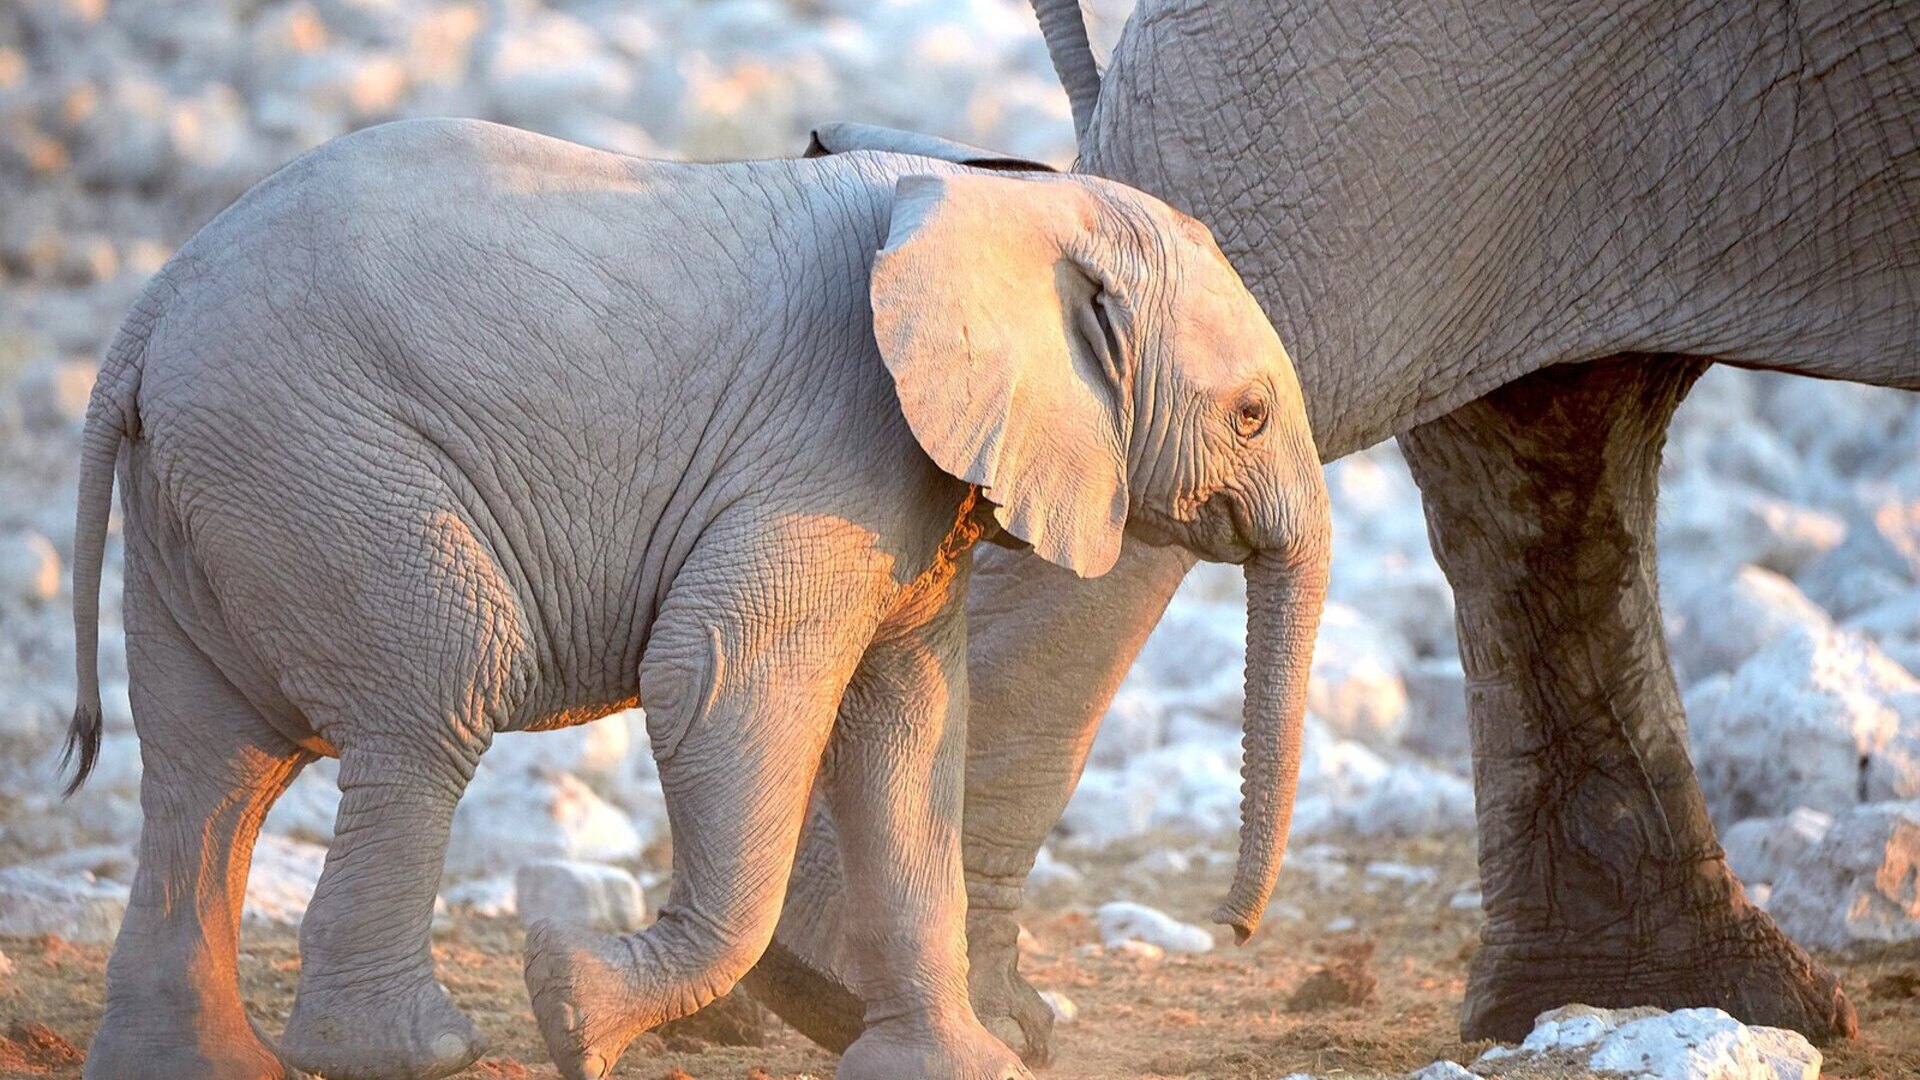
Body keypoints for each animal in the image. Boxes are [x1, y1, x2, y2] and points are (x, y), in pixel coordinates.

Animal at [61, 116, 1334, 1080]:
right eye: (1252, 415)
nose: (1232, 930)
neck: (1003, 203)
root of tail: (147, 314)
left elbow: (910, 730)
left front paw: (957, 1070)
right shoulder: (828, 445)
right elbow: (719, 684)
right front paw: (572, 1009)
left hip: (216, 490)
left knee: (209, 766)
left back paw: (199, 1066)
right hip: (320, 464)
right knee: (432, 701)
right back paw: (412, 1054)